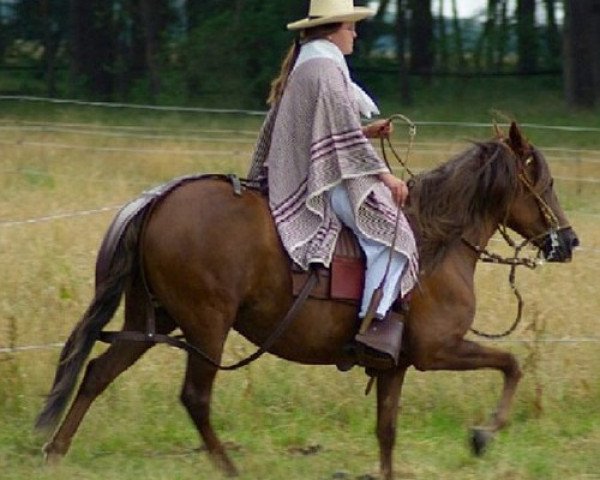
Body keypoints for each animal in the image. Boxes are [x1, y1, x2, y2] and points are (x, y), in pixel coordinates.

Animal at [36, 124, 576, 480]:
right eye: (546, 183)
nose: (568, 241)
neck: (437, 242)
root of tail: (160, 200)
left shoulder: (395, 365)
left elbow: (386, 431)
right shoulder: (438, 351)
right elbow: (511, 365)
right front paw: (485, 433)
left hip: (153, 321)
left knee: (98, 372)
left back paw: (56, 450)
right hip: (206, 326)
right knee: (195, 397)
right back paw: (230, 468)